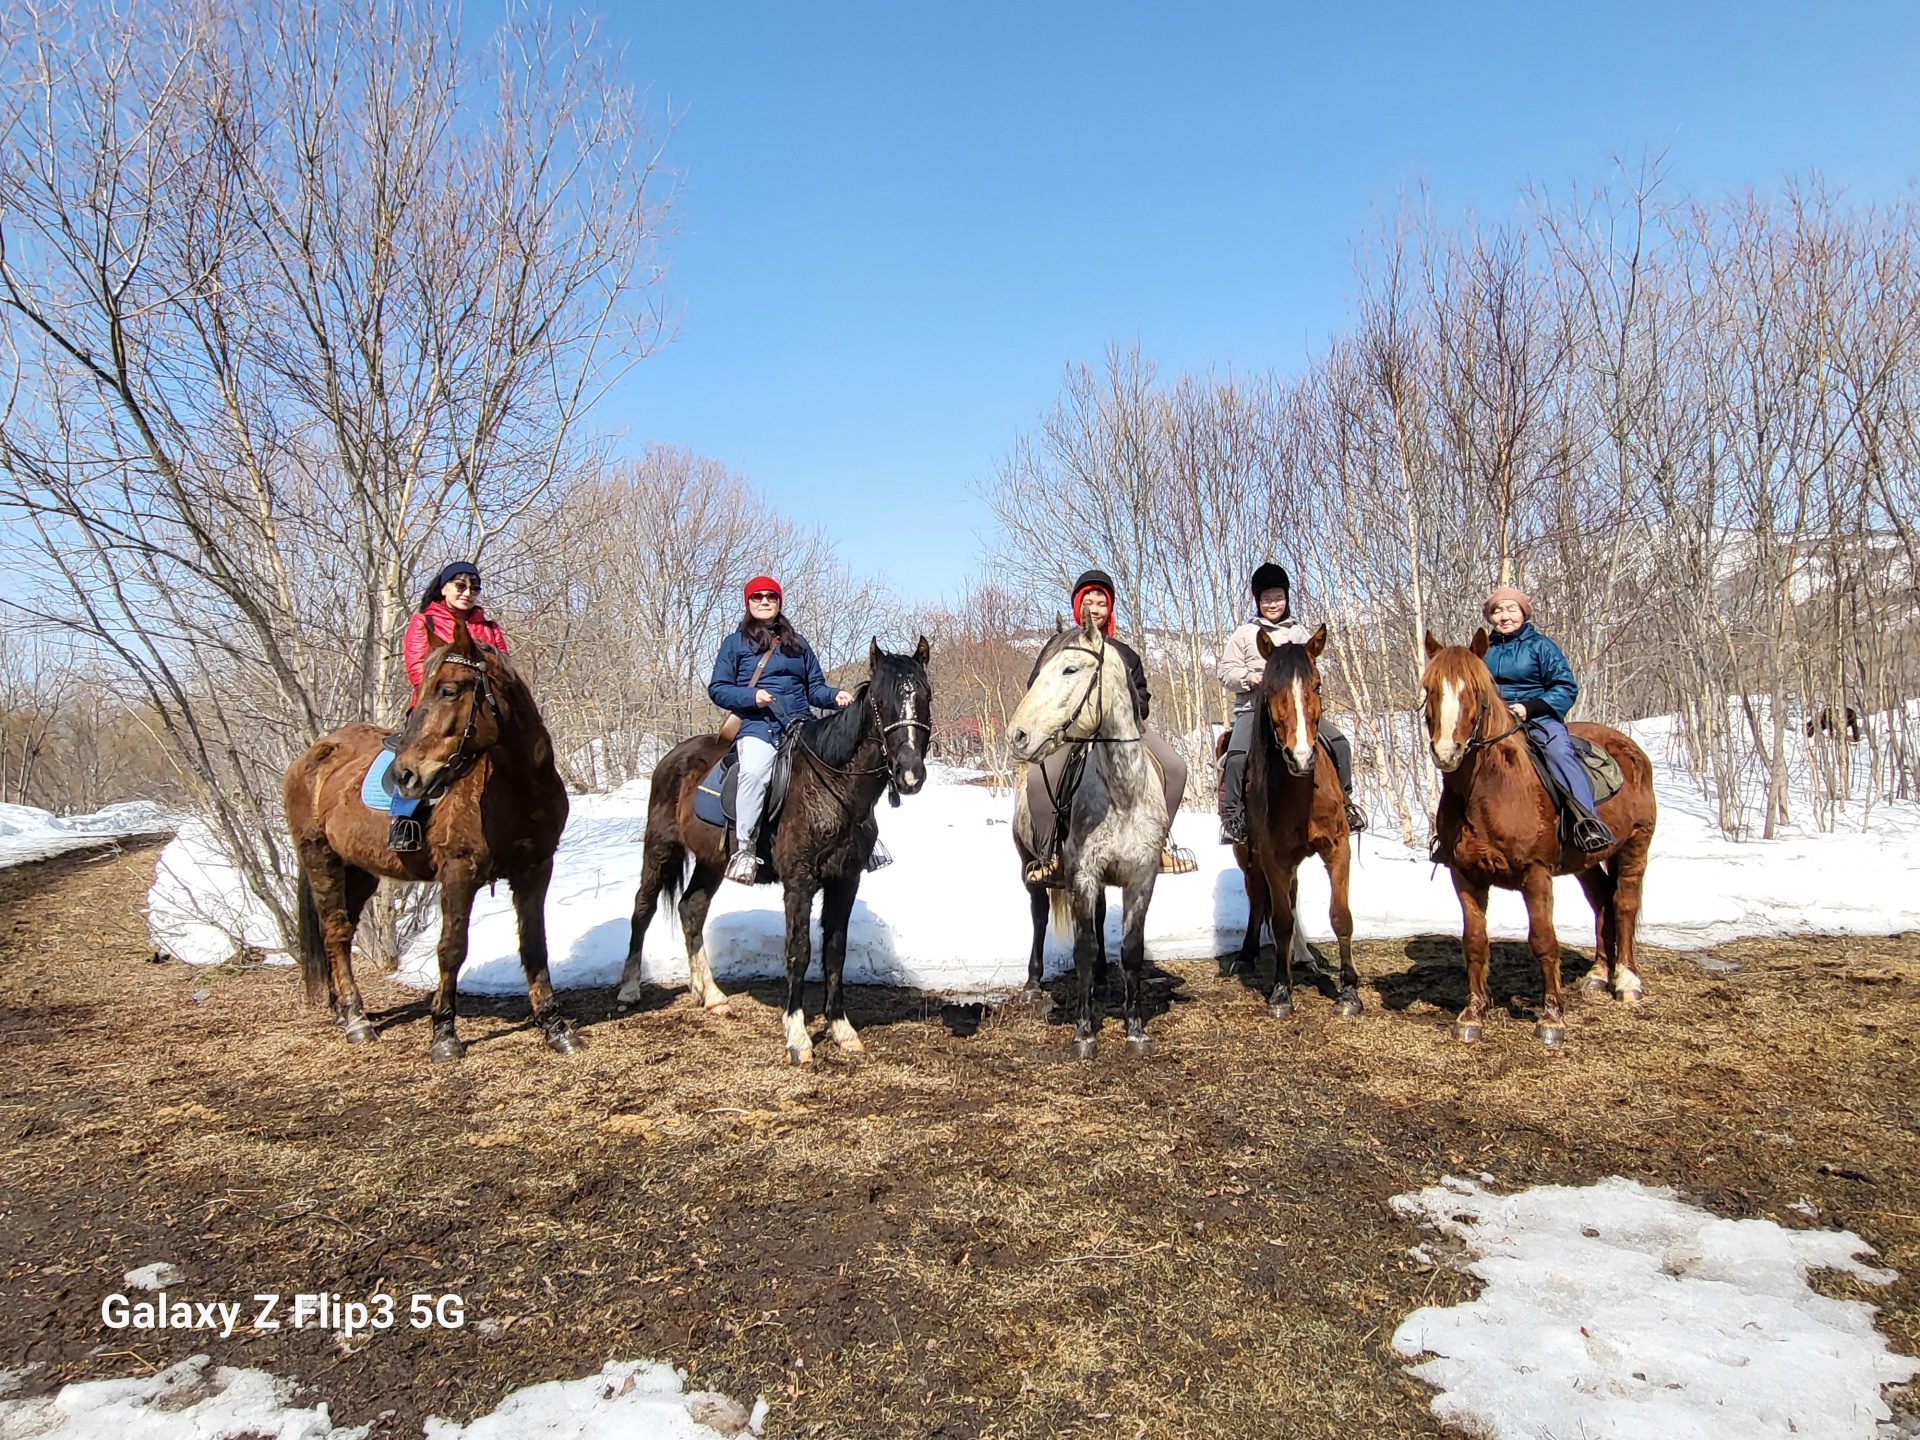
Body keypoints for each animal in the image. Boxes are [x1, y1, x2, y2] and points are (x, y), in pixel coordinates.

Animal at [280, 614, 572, 1067]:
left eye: (450, 690)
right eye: (425, 689)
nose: (405, 775)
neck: (518, 787)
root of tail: (313, 753)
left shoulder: (535, 870)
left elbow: (534, 946)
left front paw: (554, 1027)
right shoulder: (458, 872)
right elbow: (452, 949)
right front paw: (444, 1034)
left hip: (359, 869)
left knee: (341, 932)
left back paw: (341, 1009)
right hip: (319, 857)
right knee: (336, 932)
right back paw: (356, 1020)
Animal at [614, 637, 929, 1067]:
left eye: (925, 696)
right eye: (881, 702)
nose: (910, 774)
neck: (832, 788)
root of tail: (673, 756)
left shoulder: (845, 881)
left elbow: (835, 950)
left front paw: (842, 1029)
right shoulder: (799, 882)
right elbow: (799, 950)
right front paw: (797, 1036)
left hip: (712, 862)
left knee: (691, 909)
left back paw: (711, 995)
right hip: (660, 848)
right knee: (642, 909)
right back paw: (629, 990)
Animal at [1228, 629, 1367, 1029]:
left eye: (1317, 685)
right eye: (1269, 688)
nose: (1301, 756)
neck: (1300, 789)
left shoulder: (1338, 847)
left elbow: (1340, 917)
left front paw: (1348, 992)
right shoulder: (1273, 858)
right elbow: (1281, 921)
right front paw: (1280, 991)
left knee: (1289, 894)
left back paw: (1304, 957)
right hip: (1247, 857)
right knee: (1259, 897)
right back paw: (1247, 955)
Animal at [1420, 629, 1658, 1052]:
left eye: (1476, 692)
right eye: (1429, 688)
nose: (1446, 752)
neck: (1491, 789)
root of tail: (1631, 749)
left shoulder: (1536, 875)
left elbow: (1544, 941)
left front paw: (1552, 1019)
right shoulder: (1465, 875)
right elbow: (1475, 941)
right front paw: (1472, 1016)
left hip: (1635, 846)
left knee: (1624, 904)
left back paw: (1627, 981)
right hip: (1585, 862)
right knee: (1602, 901)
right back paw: (1599, 975)